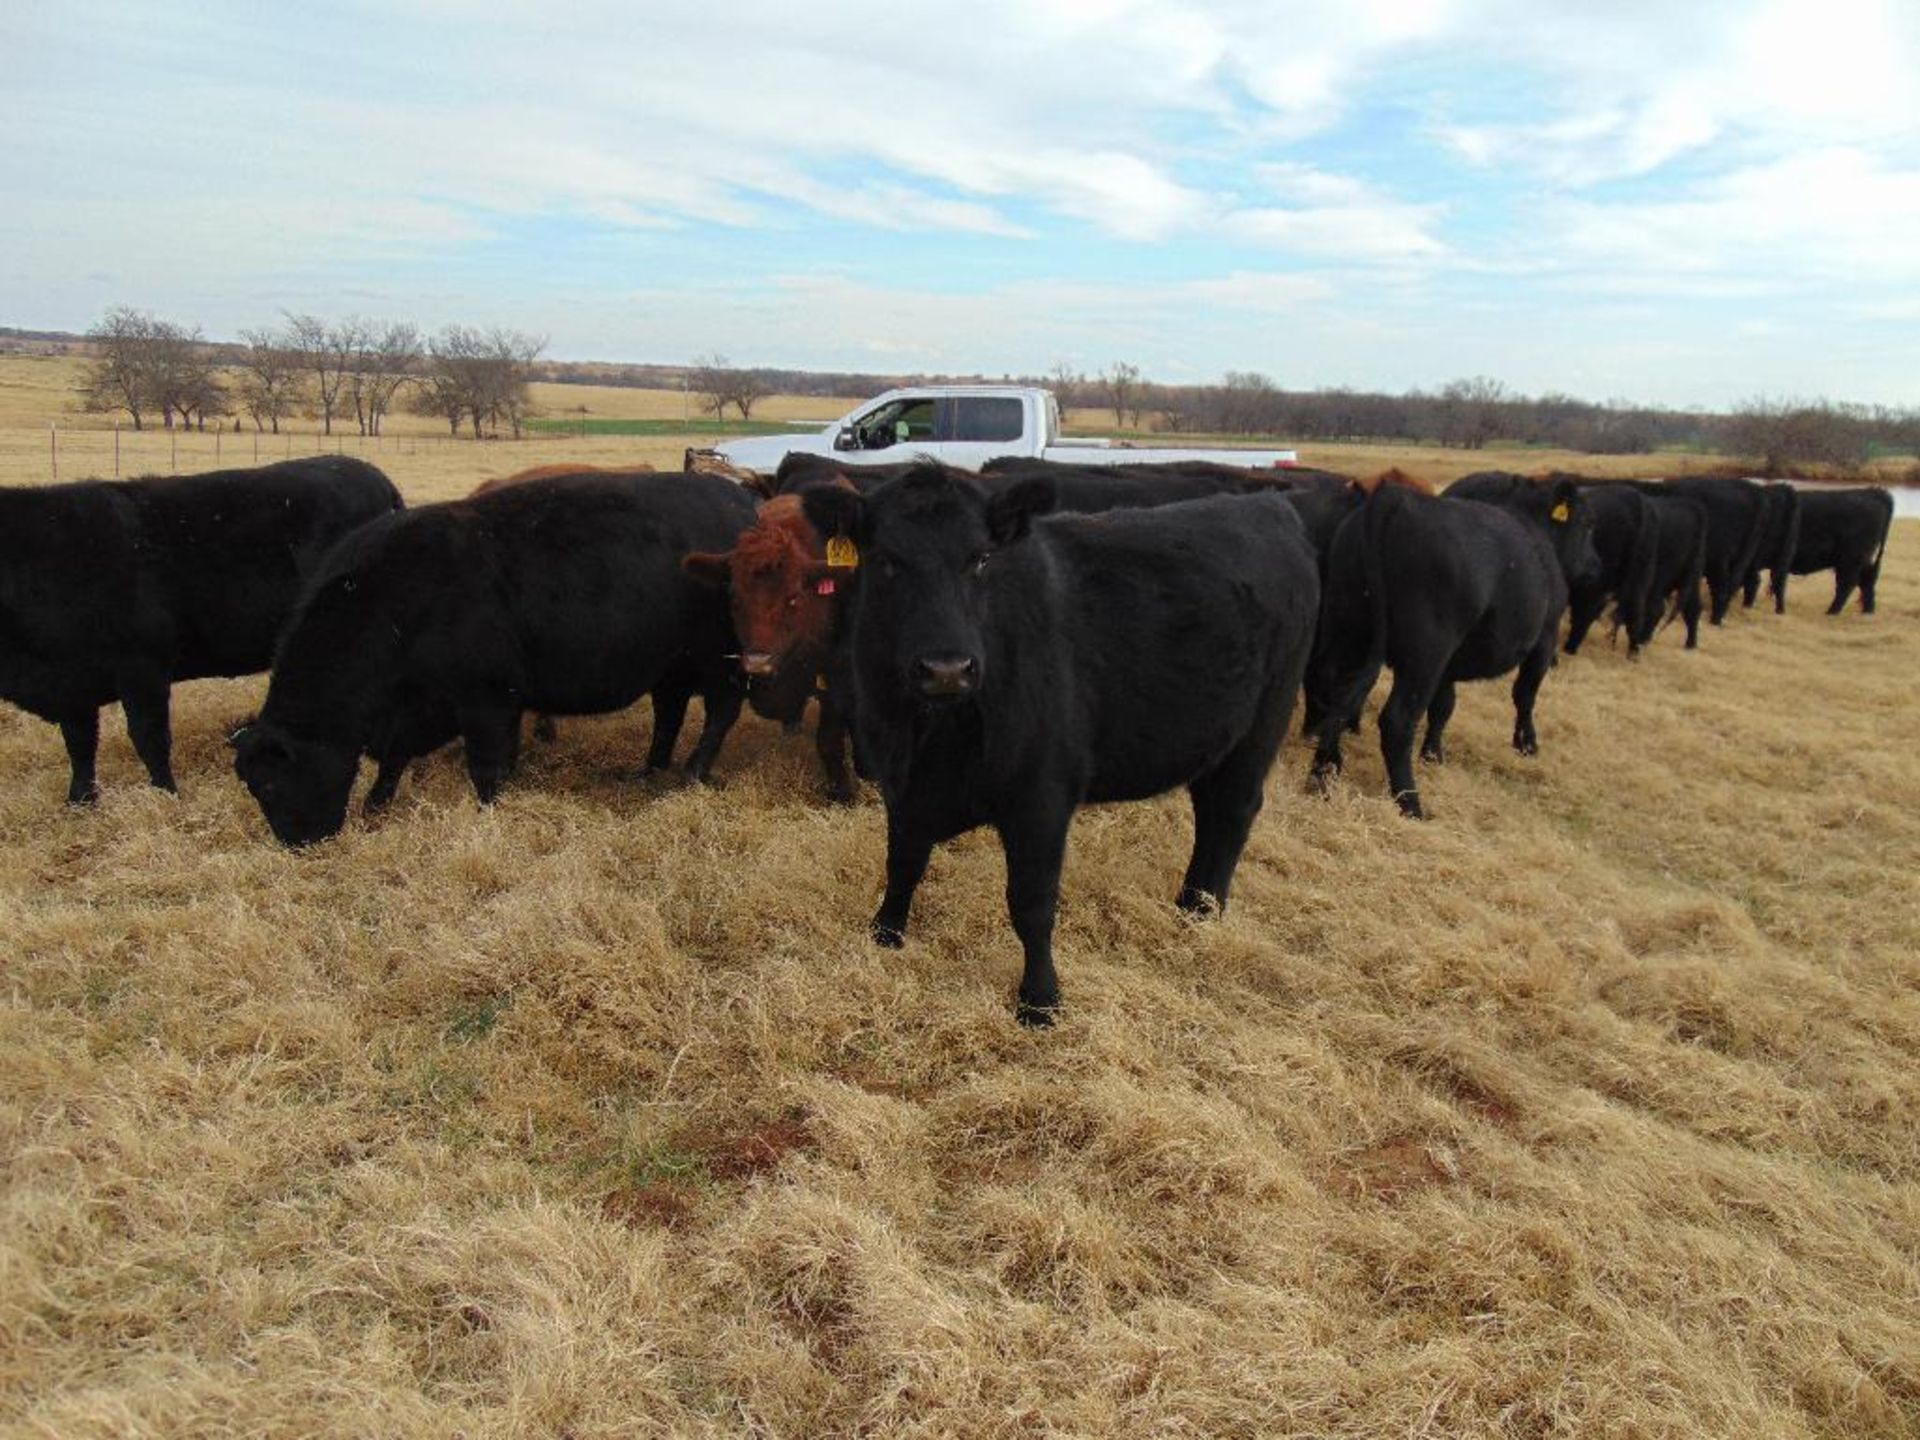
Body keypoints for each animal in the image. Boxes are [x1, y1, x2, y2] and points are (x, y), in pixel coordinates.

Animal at [0, 456, 401, 806]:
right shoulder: (72, 684)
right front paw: (80, 800)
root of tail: (377, 480)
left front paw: (166, 793)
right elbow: (80, 744)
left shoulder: (142, 667)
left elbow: (149, 737)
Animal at [228, 468, 752, 852]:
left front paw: (486, 814)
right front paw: (376, 806)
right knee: (669, 712)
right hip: (672, 665)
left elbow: (486, 767)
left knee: (719, 713)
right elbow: (395, 759)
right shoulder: (421, 708)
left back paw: (692, 773)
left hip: (720, 660)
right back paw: (649, 769)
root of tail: (740, 500)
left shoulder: (487, 700)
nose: (297, 844)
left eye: (270, 786)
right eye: (254, 788)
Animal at [798, 464, 1320, 1029]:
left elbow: (1031, 902)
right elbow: (903, 864)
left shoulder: (1041, 796)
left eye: (981, 558)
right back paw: (1188, 904)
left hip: (1263, 723)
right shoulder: (902, 781)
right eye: (886, 561)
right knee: (1210, 810)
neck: (933, 733)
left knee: (1233, 811)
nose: (946, 669)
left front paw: (1040, 999)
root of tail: (1270, 506)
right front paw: (886, 932)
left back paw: (1203, 911)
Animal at [1305, 481, 1589, 821]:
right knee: (1397, 720)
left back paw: (1324, 773)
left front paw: (1433, 754)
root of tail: (1396, 499)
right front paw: (1527, 745)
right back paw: (1410, 803)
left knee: (1333, 695)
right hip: (1425, 652)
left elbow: (1443, 706)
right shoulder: (1543, 640)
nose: (1592, 564)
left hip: (1347, 630)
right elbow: (1525, 695)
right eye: (1586, 526)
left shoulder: (1448, 665)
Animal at [1743, 485, 1797, 614]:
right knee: (1780, 582)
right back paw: (1780, 610)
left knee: (1754, 580)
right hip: (1785, 555)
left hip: (1755, 556)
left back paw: (1746, 606)